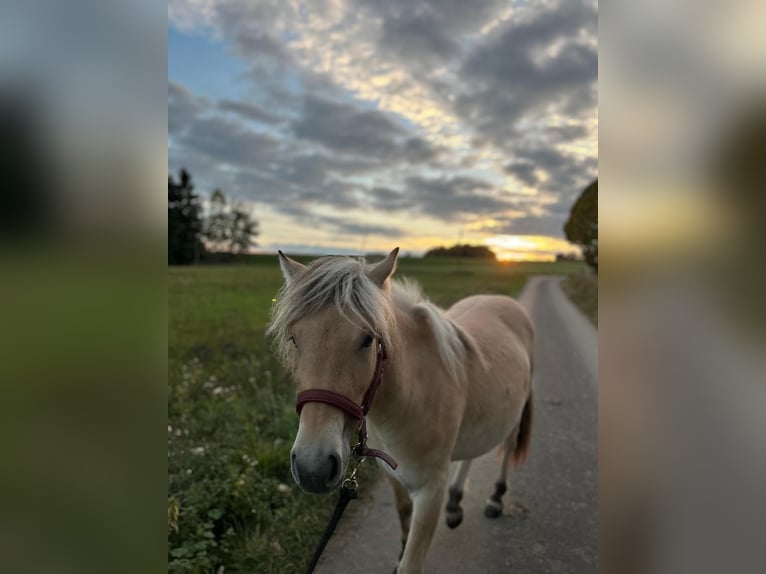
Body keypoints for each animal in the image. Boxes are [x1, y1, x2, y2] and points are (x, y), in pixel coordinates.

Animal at [267, 248, 534, 574]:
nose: (312, 467)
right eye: (295, 339)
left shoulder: (431, 490)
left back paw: (495, 498)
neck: (411, 398)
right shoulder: (393, 476)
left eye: (368, 339)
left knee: (507, 446)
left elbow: (412, 561)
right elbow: (404, 520)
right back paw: (455, 504)